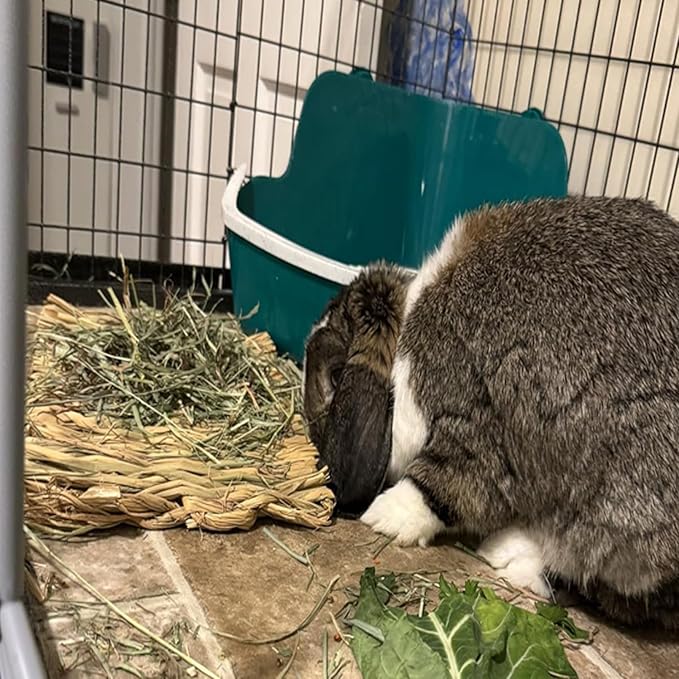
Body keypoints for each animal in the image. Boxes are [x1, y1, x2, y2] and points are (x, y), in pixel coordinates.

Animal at [302, 194, 679, 630]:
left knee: (615, 592)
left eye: (333, 377)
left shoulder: (472, 419)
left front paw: (384, 516)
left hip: (620, 520)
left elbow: (441, 485)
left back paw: (509, 556)